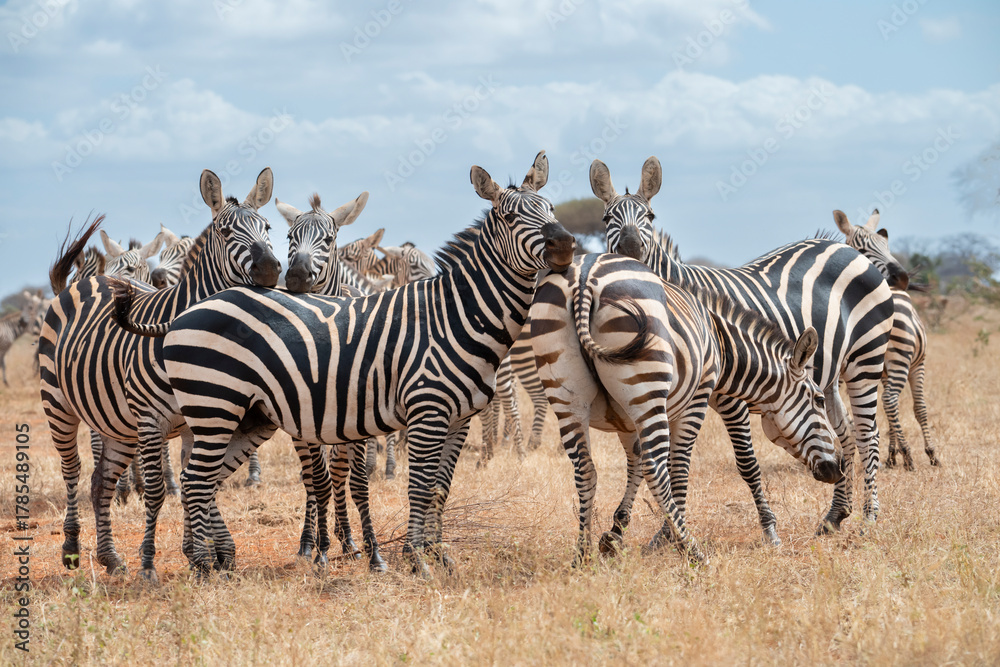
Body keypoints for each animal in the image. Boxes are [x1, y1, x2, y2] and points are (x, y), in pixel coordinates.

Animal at [39, 167, 282, 579]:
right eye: (225, 232)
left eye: (267, 227)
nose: (269, 269)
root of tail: (83, 281)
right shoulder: (153, 419)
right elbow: (159, 491)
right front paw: (152, 562)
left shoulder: (199, 420)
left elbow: (198, 481)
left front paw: (208, 553)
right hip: (59, 406)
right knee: (71, 470)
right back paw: (72, 548)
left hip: (119, 423)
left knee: (100, 482)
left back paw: (110, 557)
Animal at [111, 151, 577, 576]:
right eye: (510, 217)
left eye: (551, 208)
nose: (566, 244)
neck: (455, 314)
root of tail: (185, 311)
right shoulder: (427, 412)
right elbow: (419, 487)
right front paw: (416, 560)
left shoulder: (459, 418)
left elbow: (440, 488)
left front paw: (438, 555)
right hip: (215, 406)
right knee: (195, 480)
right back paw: (202, 564)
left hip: (247, 416)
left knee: (205, 480)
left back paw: (214, 561)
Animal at [530, 253, 841, 562]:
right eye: (818, 400)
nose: (837, 470)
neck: (722, 345)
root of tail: (586, 274)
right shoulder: (695, 400)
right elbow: (678, 469)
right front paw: (671, 536)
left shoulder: (626, 417)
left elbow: (635, 465)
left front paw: (616, 532)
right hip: (647, 386)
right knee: (656, 469)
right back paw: (695, 552)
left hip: (568, 398)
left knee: (585, 470)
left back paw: (581, 555)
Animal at [592, 157, 895, 540]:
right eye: (607, 218)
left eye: (650, 216)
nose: (631, 251)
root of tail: (846, 248)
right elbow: (662, 460)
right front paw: (650, 531)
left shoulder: (729, 396)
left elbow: (741, 462)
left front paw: (764, 528)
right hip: (827, 378)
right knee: (847, 436)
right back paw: (834, 515)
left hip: (864, 361)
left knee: (869, 435)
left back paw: (869, 517)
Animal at [834, 210, 938, 469]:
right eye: (863, 250)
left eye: (886, 247)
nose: (902, 278)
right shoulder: (919, 363)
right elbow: (919, 407)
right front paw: (930, 452)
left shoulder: (879, 371)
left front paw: (891, 454)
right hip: (900, 359)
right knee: (890, 399)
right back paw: (909, 454)